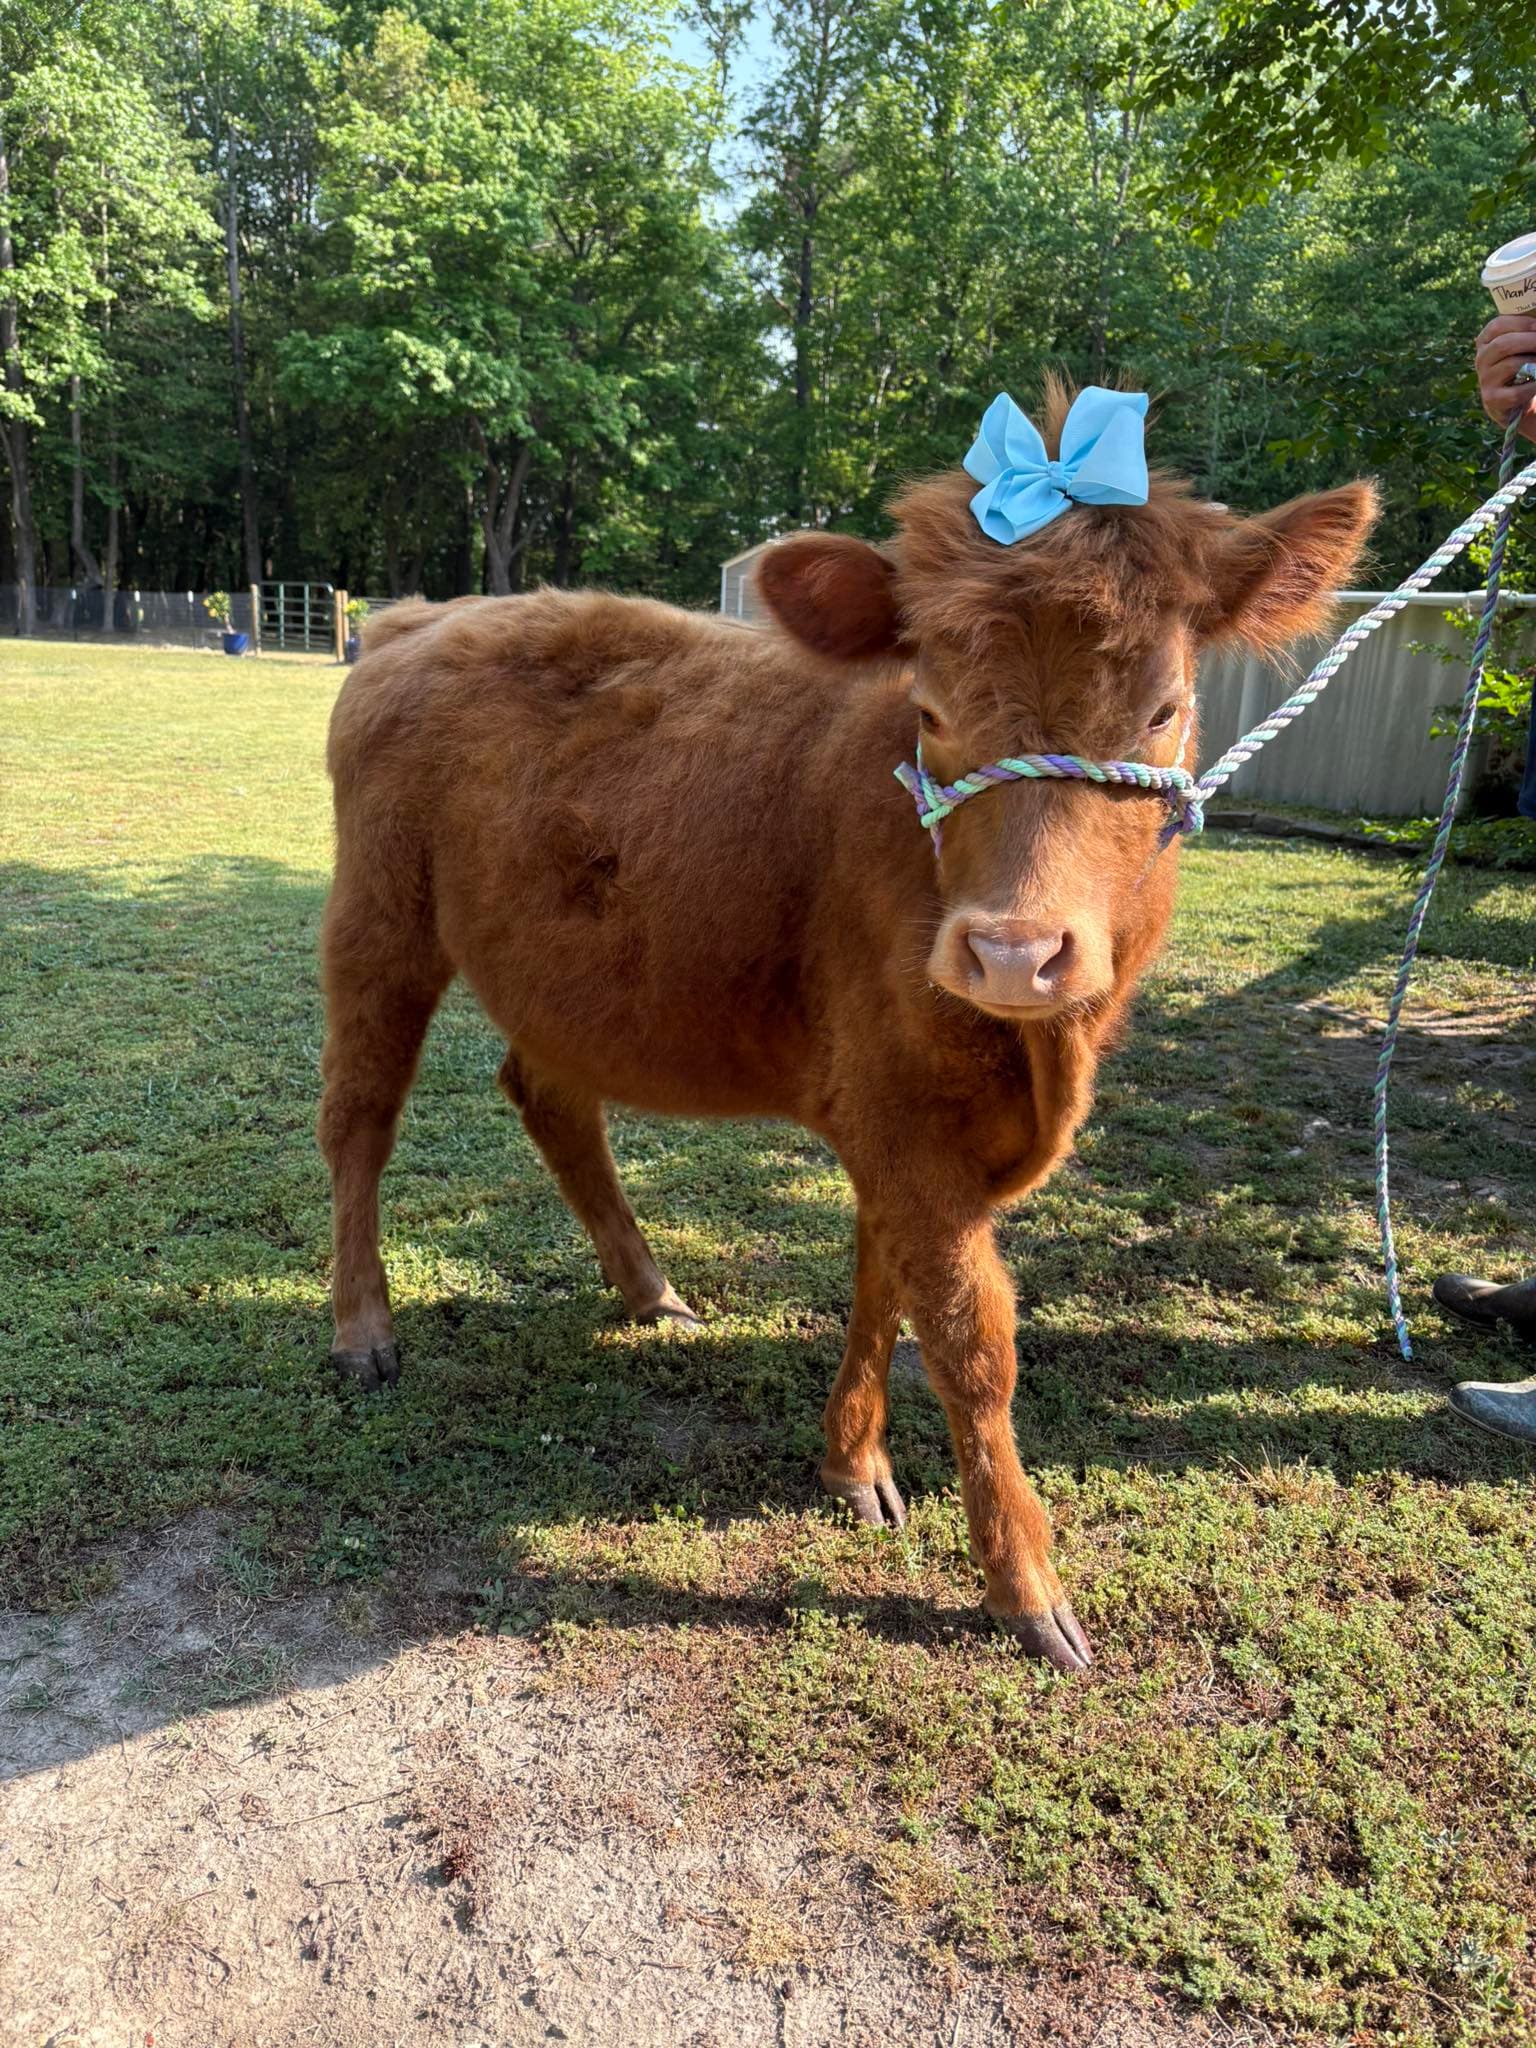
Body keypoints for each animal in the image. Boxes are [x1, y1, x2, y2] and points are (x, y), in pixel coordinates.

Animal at [318, 381, 1375, 1669]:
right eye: (930, 708)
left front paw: (851, 1462)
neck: (1041, 1062)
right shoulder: (904, 1115)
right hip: (379, 921)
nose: (1013, 951)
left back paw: (651, 1290)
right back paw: (363, 1327)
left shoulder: (896, 1124)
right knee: (360, 1115)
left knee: (552, 1098)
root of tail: (423, 618)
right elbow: (972, 1338)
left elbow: (884, 1286)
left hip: (562, 977)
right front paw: (1025, 1587)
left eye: (1165, 708)